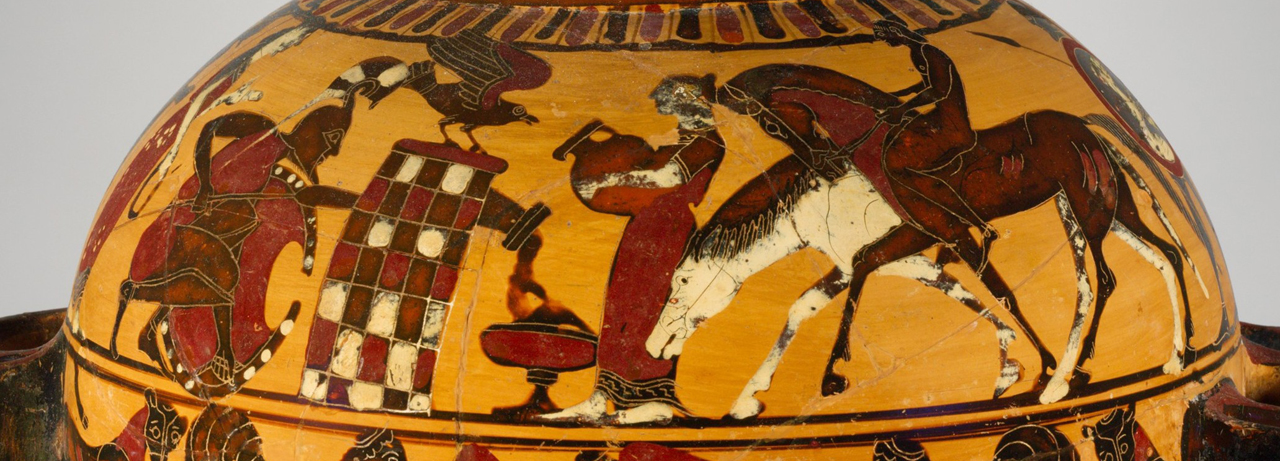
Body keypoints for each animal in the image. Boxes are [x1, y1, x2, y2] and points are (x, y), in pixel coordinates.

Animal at [644, 153, 1021, 419]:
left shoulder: (892, 258)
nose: (653, 345)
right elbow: (802, 306)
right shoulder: (848, 263)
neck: (812, 202)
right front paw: (747, 397)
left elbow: (954, 286)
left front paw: (1007, 352)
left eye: (682, 281)